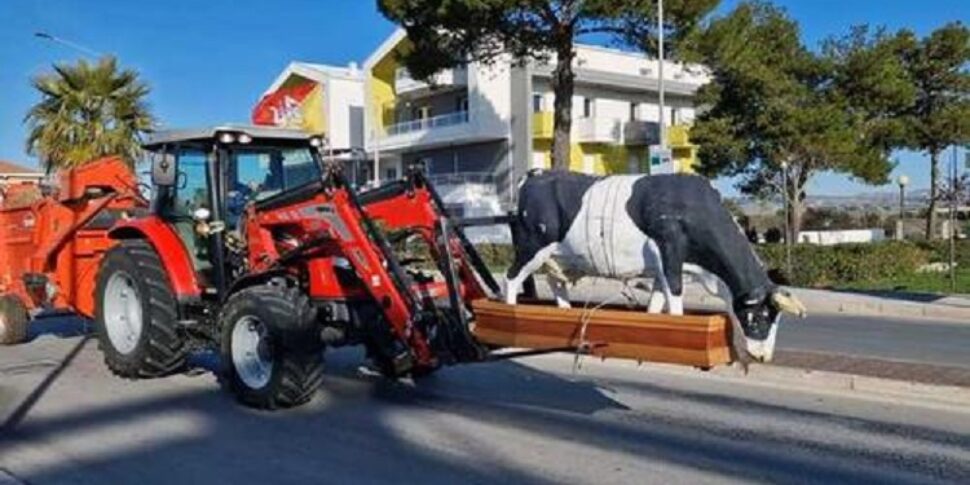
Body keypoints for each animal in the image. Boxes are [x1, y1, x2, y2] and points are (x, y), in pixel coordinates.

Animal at [502, 168, 804, 362]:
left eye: (776, 318)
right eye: (760, 316)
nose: (763, 357)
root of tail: (535, 174)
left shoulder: (663, 267)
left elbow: (658, 302)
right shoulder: (669, 250)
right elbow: (676, 297)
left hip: (555, 257)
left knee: (556, 283)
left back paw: (564, 313)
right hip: (531, 247)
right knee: (511, 278)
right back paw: (510, 315)